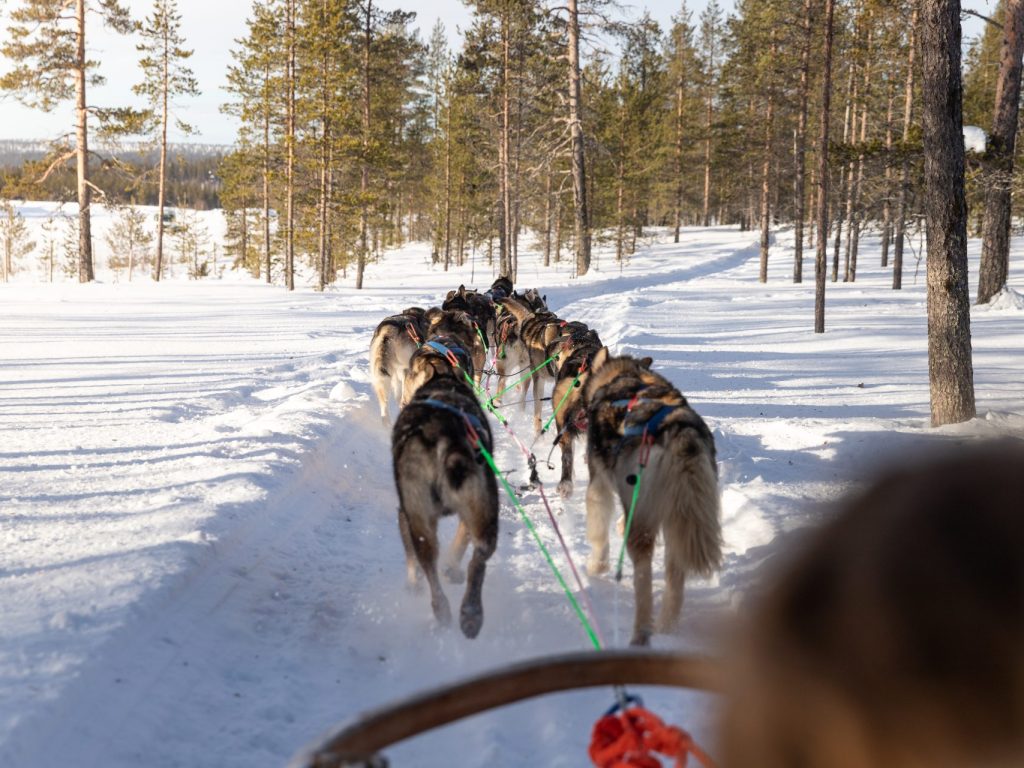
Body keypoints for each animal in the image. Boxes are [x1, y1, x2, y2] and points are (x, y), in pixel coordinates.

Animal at [389, 364, 497, 638]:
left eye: (411, 374)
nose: (405, 373)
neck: (444, 386)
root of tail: (445, 436)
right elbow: (460, 543)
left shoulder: (404, 513)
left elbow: (411, 560)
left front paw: (412, 584)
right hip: (483, 510)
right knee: (478, 558)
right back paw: (469, 613)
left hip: (419, 516)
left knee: (429, 566)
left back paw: (443, 608)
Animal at [585, 352, 720, 647]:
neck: (626, 375)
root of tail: (679, 432)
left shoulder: (598, 484)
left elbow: (598, 532)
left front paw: (596, 567)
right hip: (678, 518)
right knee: (675, 575)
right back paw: (667, 625)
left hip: (644, 526)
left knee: (643, 580)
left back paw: (641, 634)